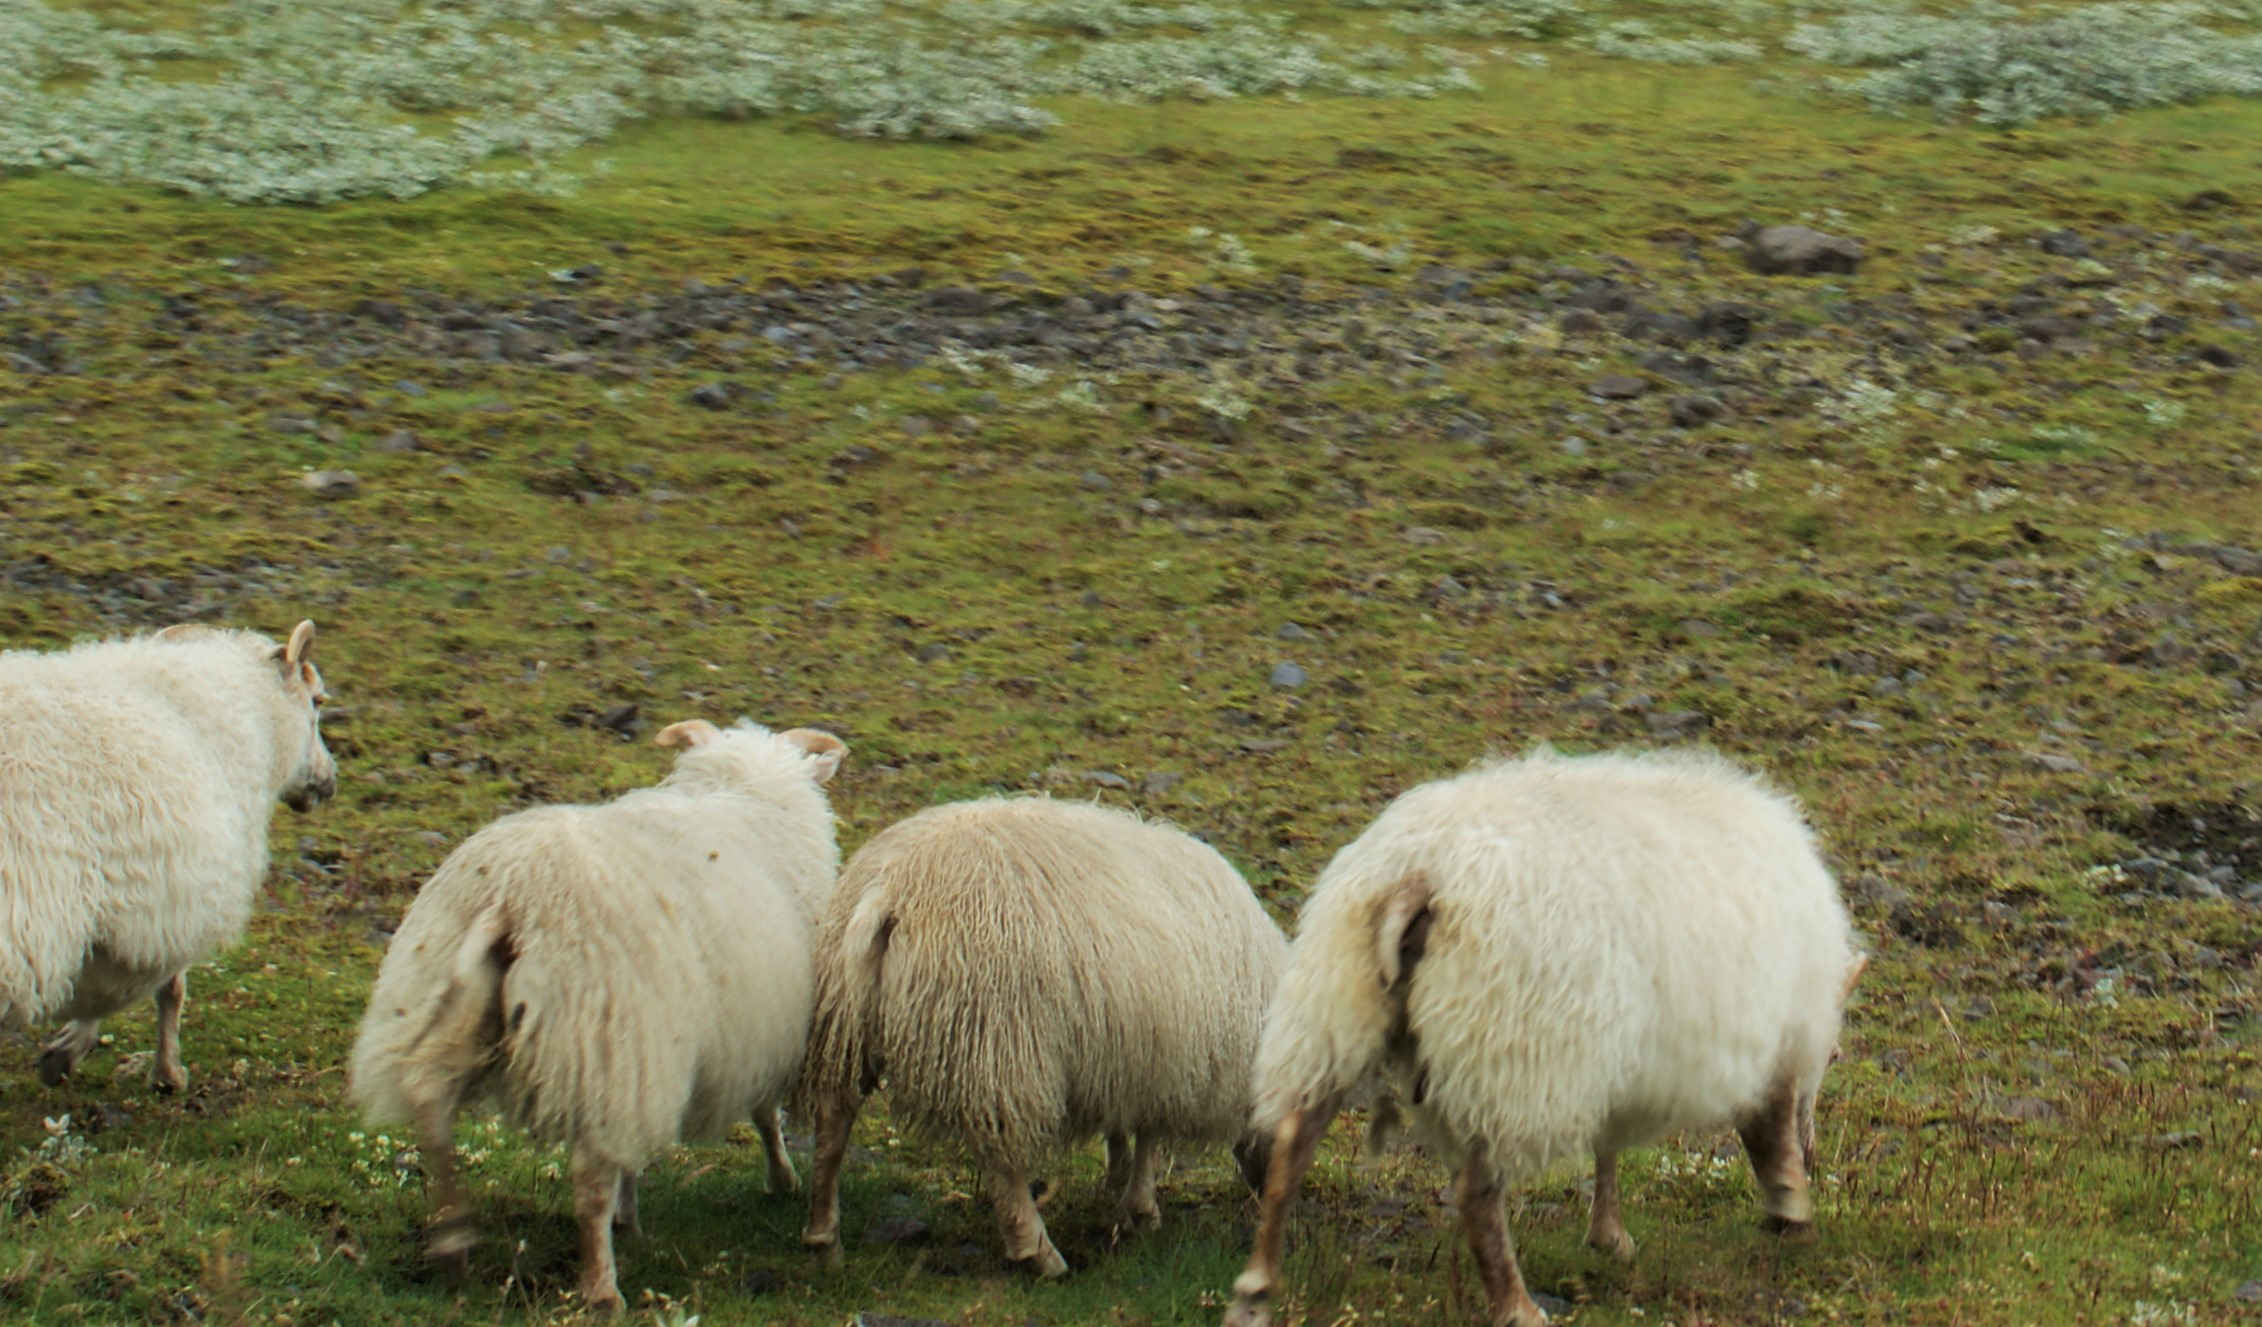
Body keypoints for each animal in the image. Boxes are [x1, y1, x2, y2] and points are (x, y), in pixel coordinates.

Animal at [1, 619, 334, 1094]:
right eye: (318, 701)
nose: (329, 782)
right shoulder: (173, 897)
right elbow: (163, 988)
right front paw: (166, 1073)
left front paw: (63, 1052)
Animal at [343, 723, 850, 1311]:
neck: (746, 794)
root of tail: (510, 893)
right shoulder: (760, 1024)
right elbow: (766, 1111)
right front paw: (782, 1178)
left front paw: (632, 1217)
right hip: (602, 1037)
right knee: (588, 1178)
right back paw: (602, 1289)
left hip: (444, 995)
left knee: (431, 1108)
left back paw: (452, 1239)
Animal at [796, 795, 1293, 1284]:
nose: (1271, 1192)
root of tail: (891, 887)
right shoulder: (1171, 1062)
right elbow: (1150, 1138)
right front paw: (1141, 1209)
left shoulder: (1129, 1053)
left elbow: (1124, 1129)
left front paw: (1116, 1185)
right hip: (996, 1041)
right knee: (1001, 1161)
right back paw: (1039, 1253)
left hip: (846, 1020)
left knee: (832, 1121)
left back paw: (824, 1239)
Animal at [1230, 746, 1863, 1327]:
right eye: (1834, 1056)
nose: (1817, 1153)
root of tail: (1420, 871)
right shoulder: (1779, 1033)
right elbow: (1769, 1132)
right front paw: (1792, 1209)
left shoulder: (1616, 1052)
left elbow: (1607, 1144)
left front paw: (1608, 1235)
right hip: (1512, 1046)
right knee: (1477, 1193)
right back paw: (1517, 1306)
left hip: (1333, 1004)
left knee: (1290, 1147)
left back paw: (1255, 1293)